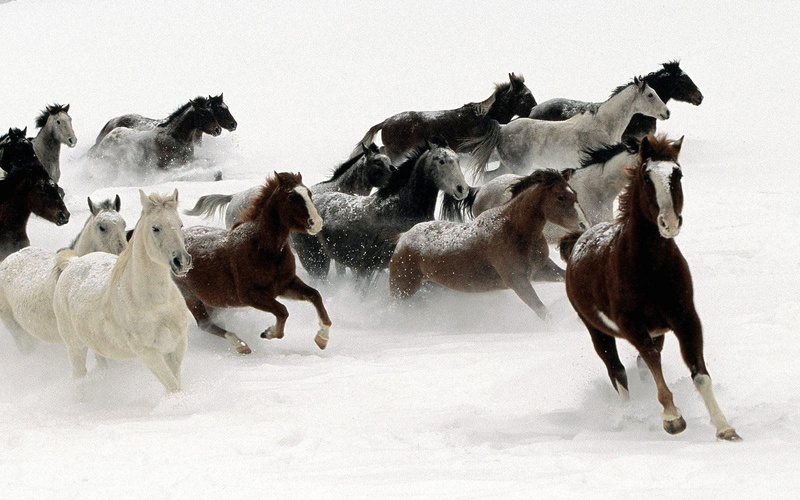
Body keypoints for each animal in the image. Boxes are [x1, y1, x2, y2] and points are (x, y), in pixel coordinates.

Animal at [53, 190, 192, 393]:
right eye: (155, 228)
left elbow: (176, 383)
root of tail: (72, 262)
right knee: (79, 375)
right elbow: (173, 386)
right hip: (75, 346)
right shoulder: (148, 353)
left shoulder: (177, 345)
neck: (157, 303)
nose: (181, 261)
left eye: (180, 224)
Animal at [175, 172, 331, 355]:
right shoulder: (250, 295)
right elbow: (282, 311)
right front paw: (269, 333)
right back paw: (241, 345)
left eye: (309, 193)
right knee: (205, 324)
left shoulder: (285, 285)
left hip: (212, 301)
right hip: (190, 296)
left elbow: (315, 295)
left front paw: (322, 338)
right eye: (291, 196)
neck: (262, 249)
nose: (317, 223)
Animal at [390, 169, 588, 320]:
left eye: (575, 194)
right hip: (402, 289)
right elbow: (542, 310)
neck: (514, 229)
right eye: (560, 197)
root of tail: (403, 238)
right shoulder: (517, 280)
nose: (584, 225)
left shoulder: (541, 270)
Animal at [466, 77, 669, 181]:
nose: (667, 112)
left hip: (507, 166)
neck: (603, 125)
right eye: (650, 95)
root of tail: (502, 129)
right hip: (517, 167)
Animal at [558, 135, 741, 441]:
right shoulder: (632, 325)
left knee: (639, 367)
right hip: (597, 331)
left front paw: (724, 427)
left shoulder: (685, 319)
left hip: (657, 331)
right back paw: (630, 417)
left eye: (677, 174)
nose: (670, 223)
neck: (650, 269)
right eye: (646, 177)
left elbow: (699, 372)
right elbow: (652, 361)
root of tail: (577, 241)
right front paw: (672, 418)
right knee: (617, 371)